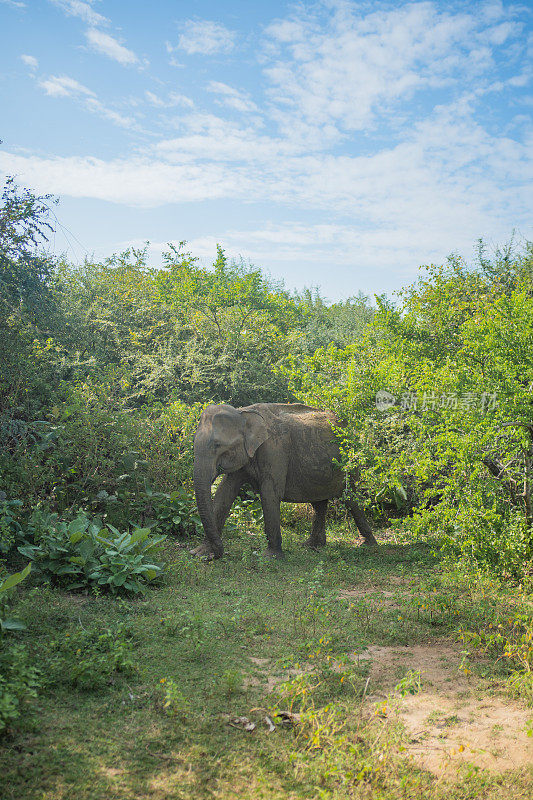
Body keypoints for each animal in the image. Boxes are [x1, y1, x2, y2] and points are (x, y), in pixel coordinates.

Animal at [191, 404, 374, 560]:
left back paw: (368, 545)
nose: (216, 555)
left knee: (351, 499)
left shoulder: (275, 450)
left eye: (217, 445)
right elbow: (224, 493)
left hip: (349, 462)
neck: (243, 412)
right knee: (319, 503)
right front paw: (200, 553)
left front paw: (270, 557)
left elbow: (269, 494)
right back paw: (312, 545)